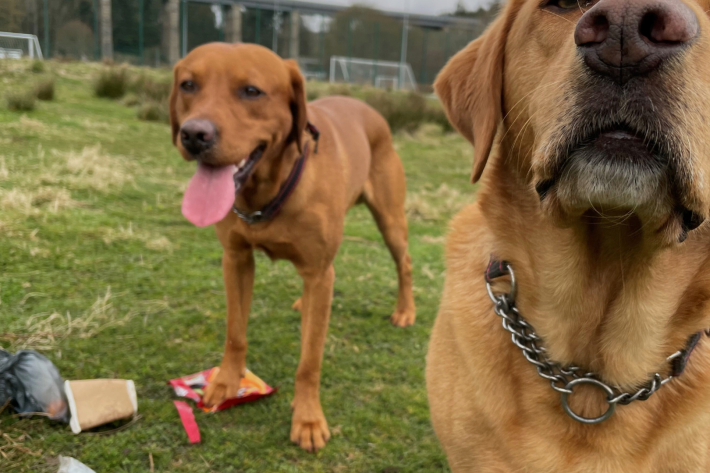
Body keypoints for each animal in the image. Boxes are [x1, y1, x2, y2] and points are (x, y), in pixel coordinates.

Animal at [170, 43, 418, 450]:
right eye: (188, 85)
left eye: (251, 91)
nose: (193, 135)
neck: (267, 189)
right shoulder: (236, 258)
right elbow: (235, 332)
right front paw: (226, 382)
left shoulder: (318, 270)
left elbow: (309, 360)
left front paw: (308, 418)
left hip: (390, 220)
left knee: (404, 263)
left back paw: (405, 310)